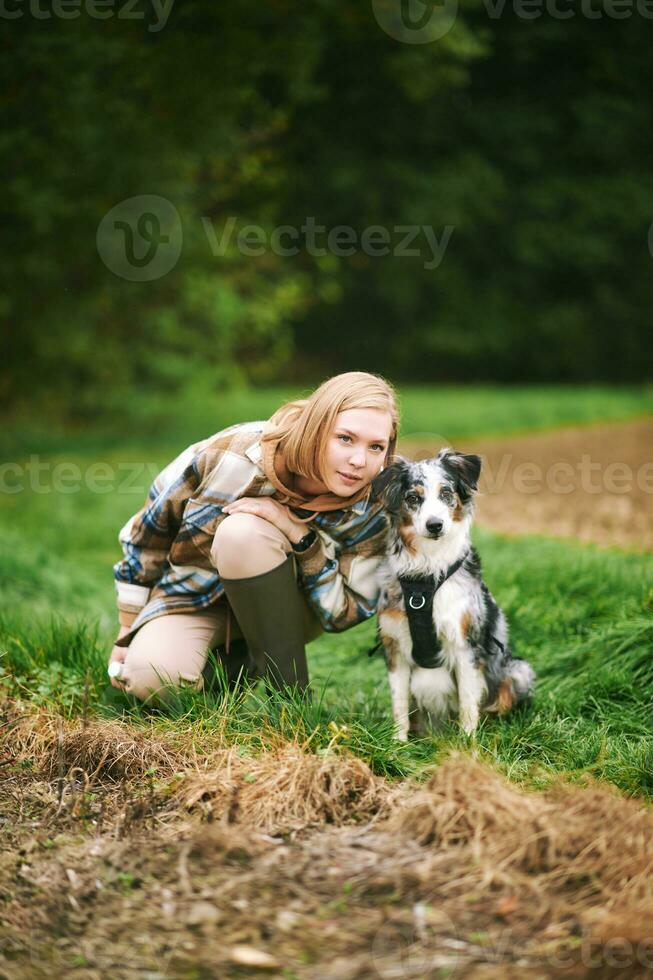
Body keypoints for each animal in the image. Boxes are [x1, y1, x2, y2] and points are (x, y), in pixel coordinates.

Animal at [372, 450, 536, 736]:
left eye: (446, 493)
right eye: (413, 498)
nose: (434, 525)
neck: (427, 571)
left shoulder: (465, 645)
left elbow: (468, 704)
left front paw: (468, 742)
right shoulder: (395, 648)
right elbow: (398, 706)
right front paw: (397, 742)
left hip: (519, 670)